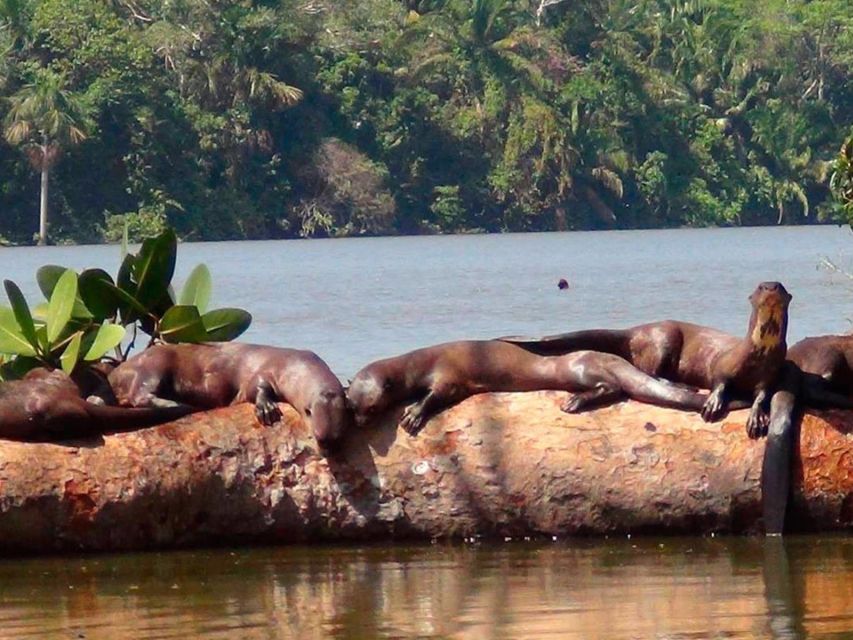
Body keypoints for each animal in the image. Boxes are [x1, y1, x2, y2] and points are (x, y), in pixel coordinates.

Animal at [109, 342, 350, 448]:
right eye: (319, 437)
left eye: (337, 437)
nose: (328, 447)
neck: (295, 366)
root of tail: (116, 373)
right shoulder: (266, 371)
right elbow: (257, 387)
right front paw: (267, 408)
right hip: (154, 364)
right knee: (139, 395)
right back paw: (177, 404)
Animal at [346, 340, 712, 436]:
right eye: (353, 406)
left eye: (372, 407)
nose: (360, 424)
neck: (420, 363)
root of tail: (611, 357)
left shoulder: (449, 376)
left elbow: (437, 395)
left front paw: (414, 414)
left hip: (577, 369)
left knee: (613, 388)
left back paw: (574, 402)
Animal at [500, 282, 792, 440]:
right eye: (760, 287)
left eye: (780, 286)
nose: (770, 287)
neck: (757, 352)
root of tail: (635, 330)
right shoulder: (724, 364)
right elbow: (720, 382)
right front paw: (713, 402)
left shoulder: (770, 373)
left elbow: (763, 394)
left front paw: (757, 417)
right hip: (664, 337)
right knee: (650, 371)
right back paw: (682, 386)